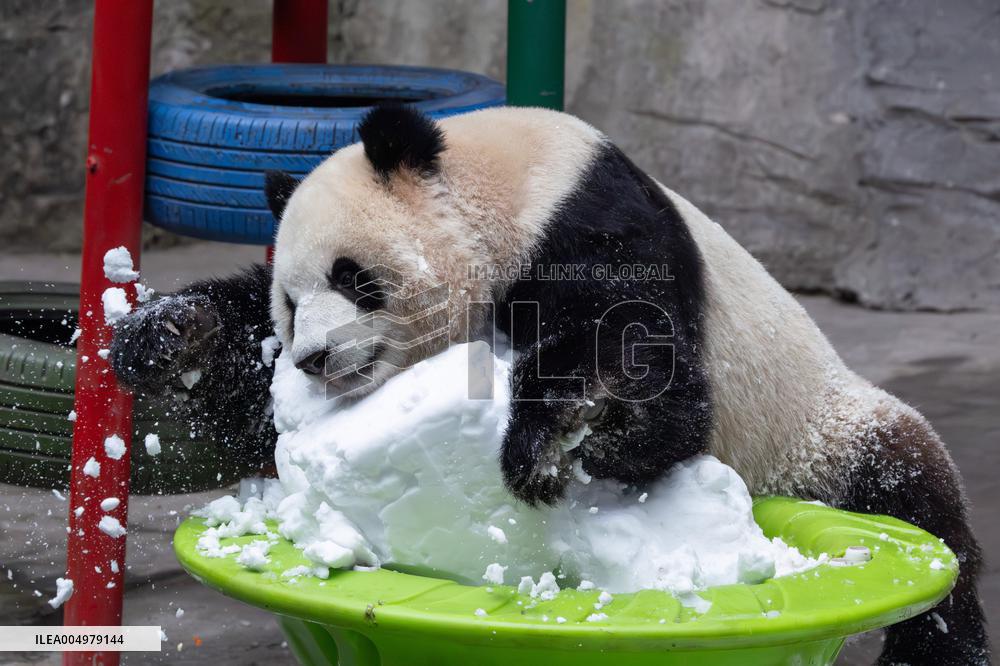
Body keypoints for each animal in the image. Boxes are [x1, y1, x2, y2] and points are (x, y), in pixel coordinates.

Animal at [110, 105, 987, 665]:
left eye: (353, 277)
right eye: (289, 305)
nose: (318, 359)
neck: (505, 183)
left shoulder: (588, 218)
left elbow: (644, 365)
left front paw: (564, 431)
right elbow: (244, 384)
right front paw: (163, 335)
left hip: (820, 433)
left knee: (916, 500)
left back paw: (939, 646)